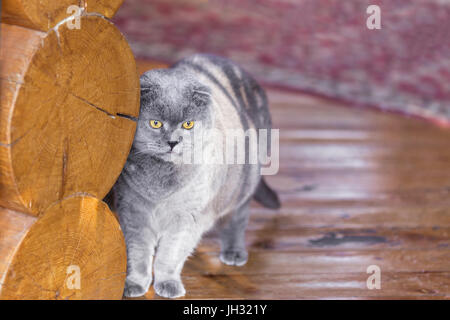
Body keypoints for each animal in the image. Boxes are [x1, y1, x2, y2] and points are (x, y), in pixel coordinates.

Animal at [107, 54, 280, 298]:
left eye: (188, 124)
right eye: (156, 123)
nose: (173, 142)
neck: (161, 182)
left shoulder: (189, 217)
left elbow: (170, 254)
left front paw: (167, 284)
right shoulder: (133, 210)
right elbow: (138, 252)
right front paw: (134, 284)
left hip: (242, 185)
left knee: (237, 218)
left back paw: (234, 252)